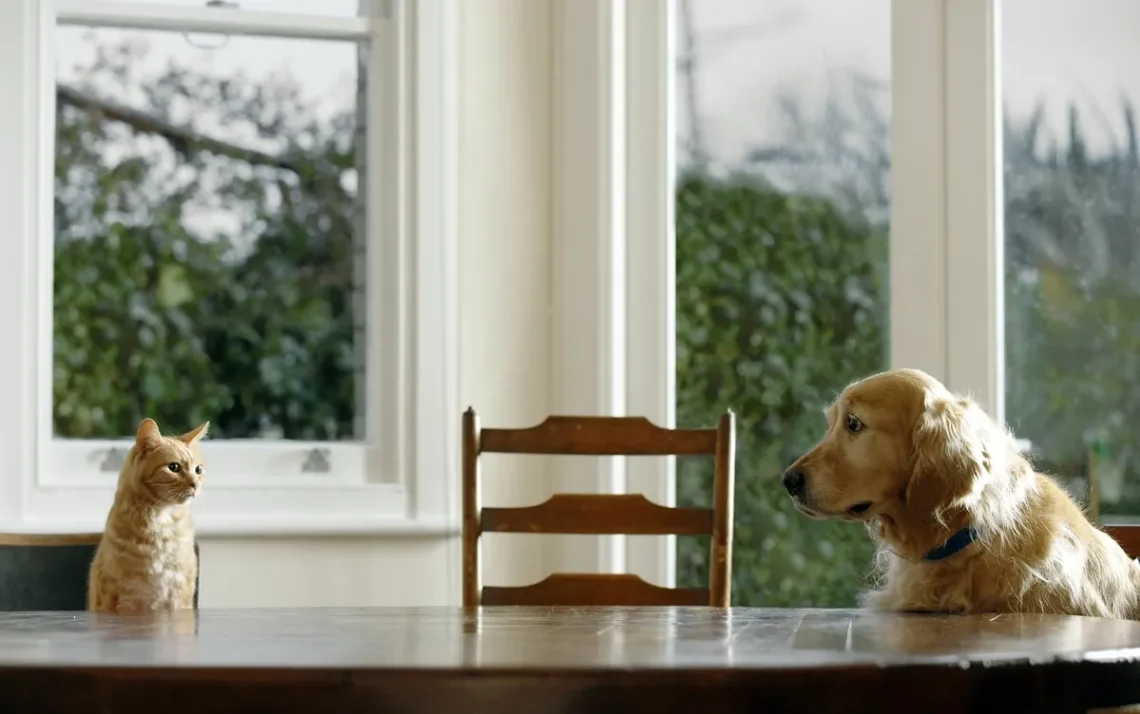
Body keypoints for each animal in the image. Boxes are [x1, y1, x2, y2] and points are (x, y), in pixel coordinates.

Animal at [87, 417, 208, 611]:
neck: (161, 518)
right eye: (174, 467)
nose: (195, 484)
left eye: (198, 470)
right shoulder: (113, 595)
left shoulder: (180, 593)